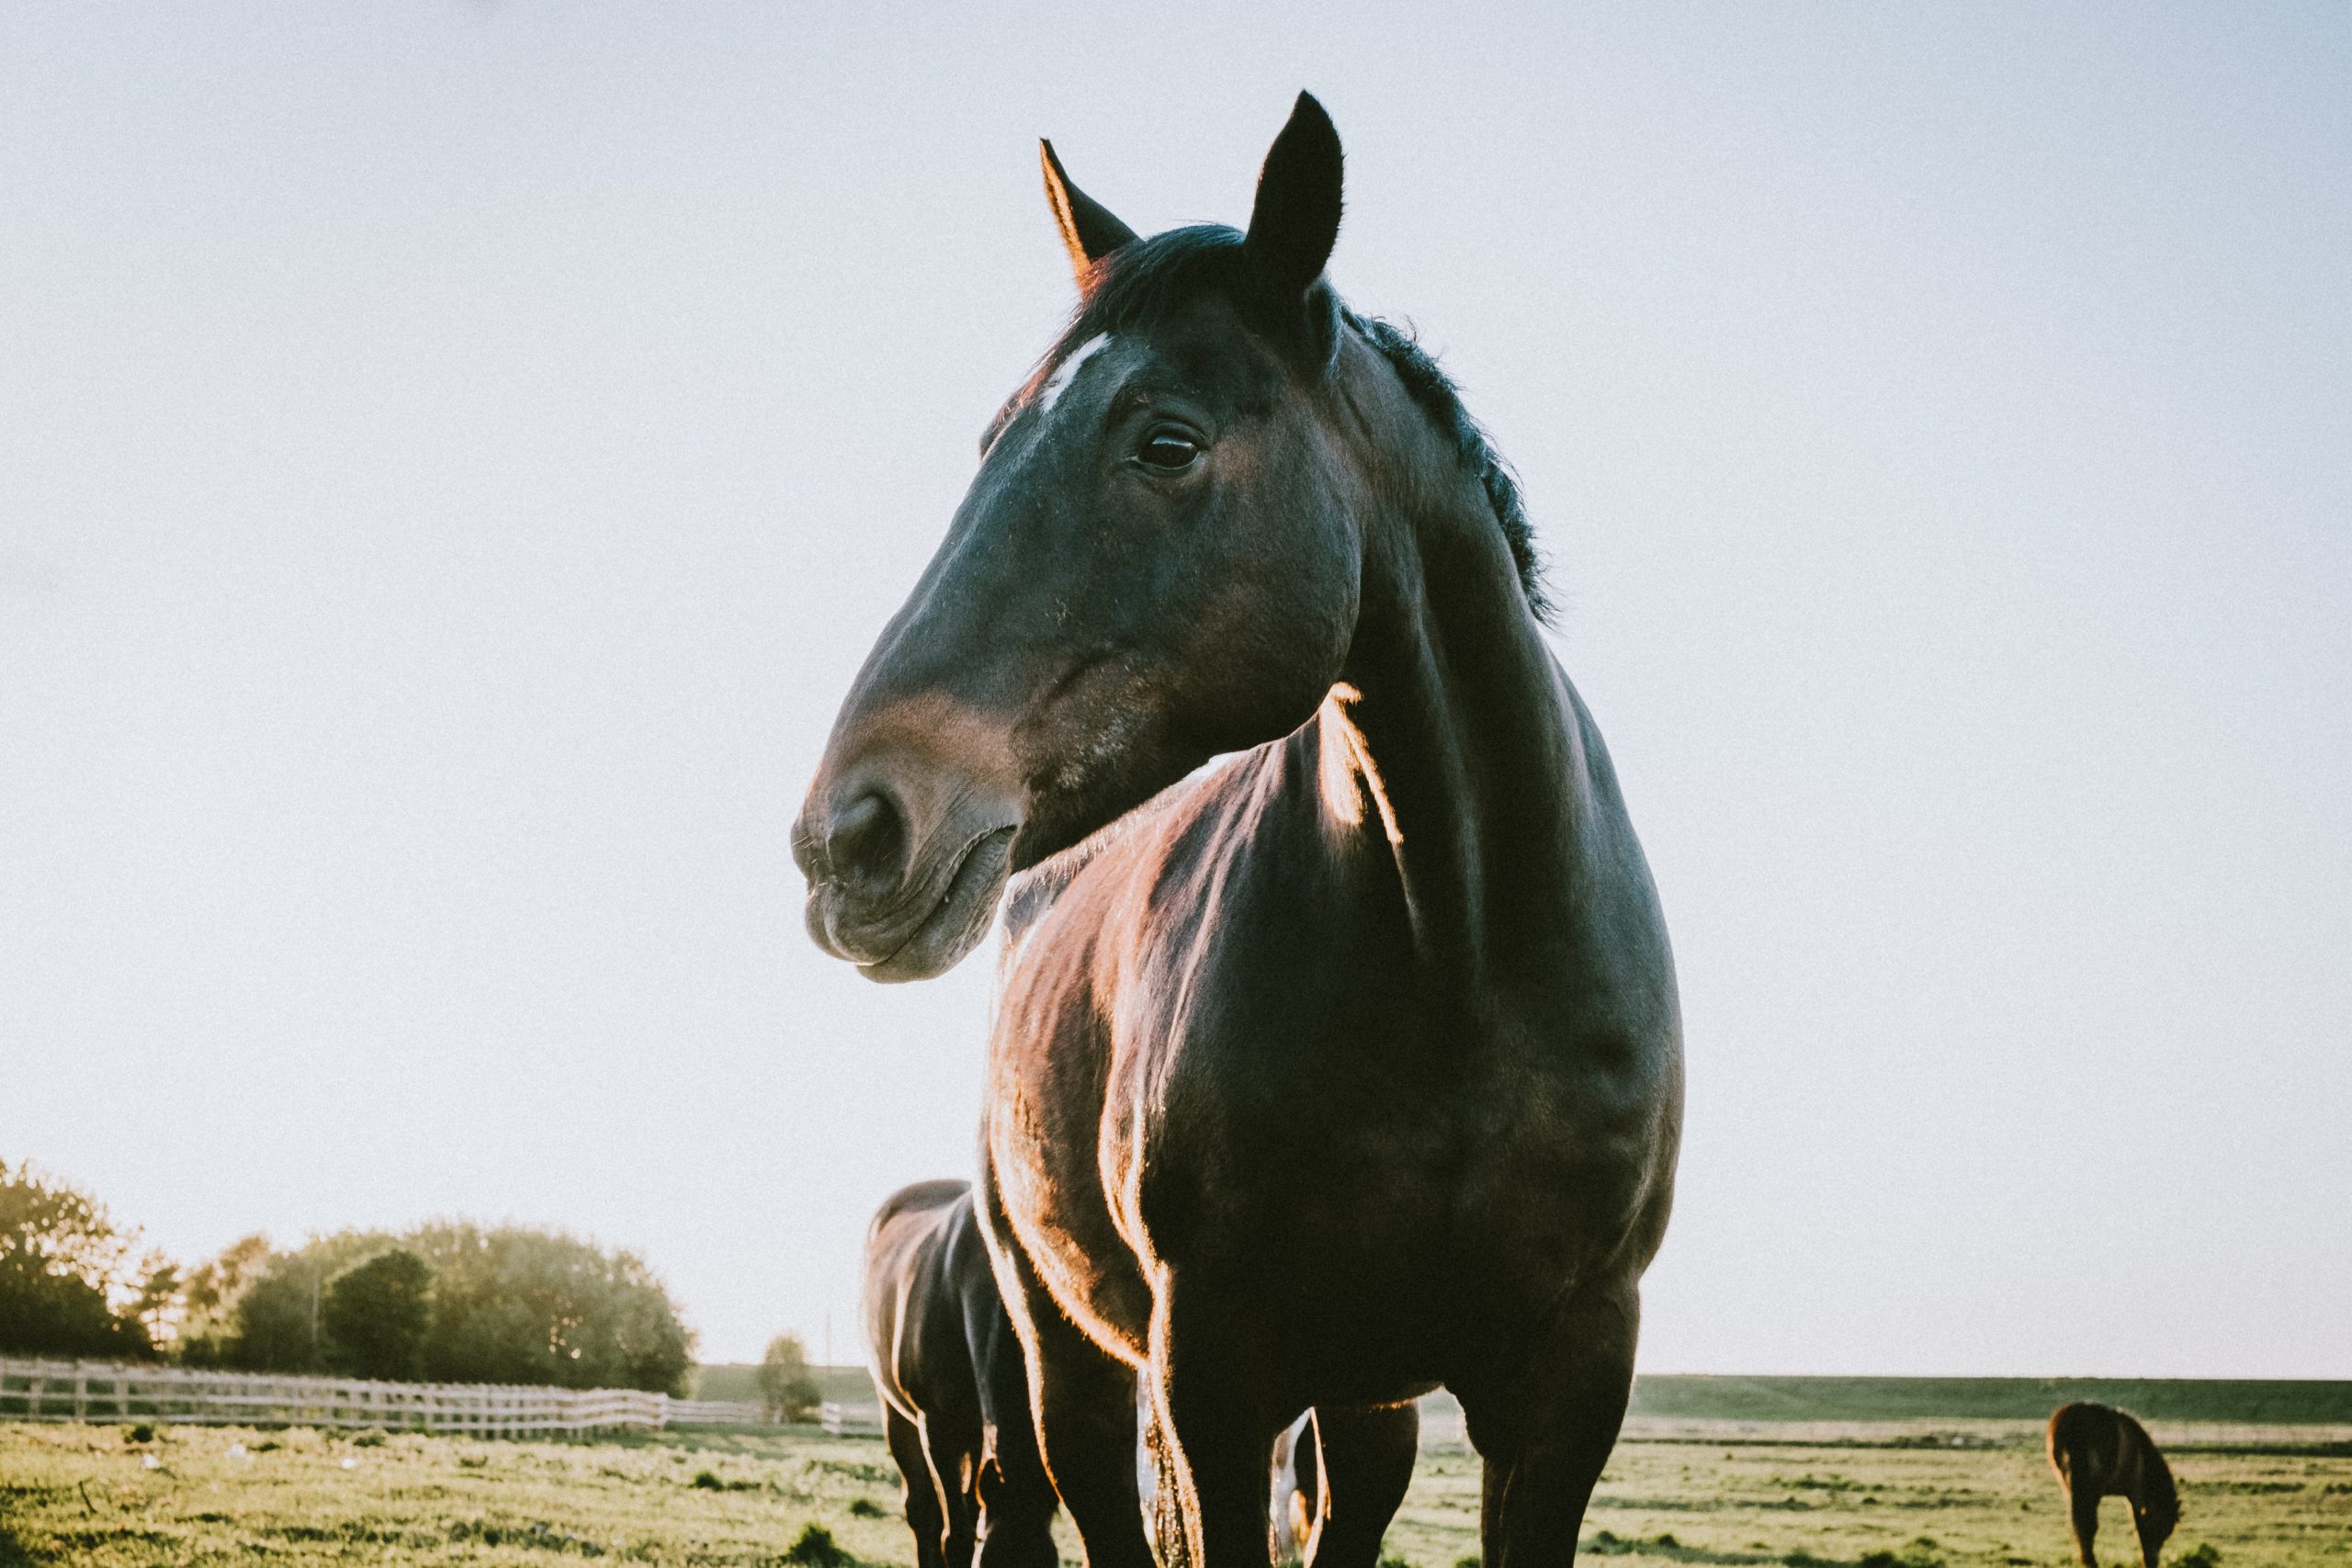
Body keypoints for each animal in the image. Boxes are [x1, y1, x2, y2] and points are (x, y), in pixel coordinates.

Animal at [865, 1184, 1058, 1568]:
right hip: (898, 1417)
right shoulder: (938, 1428)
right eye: (991, 1562)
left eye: (1050, 1561)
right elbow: (955, 1538)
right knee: (922, 1512)